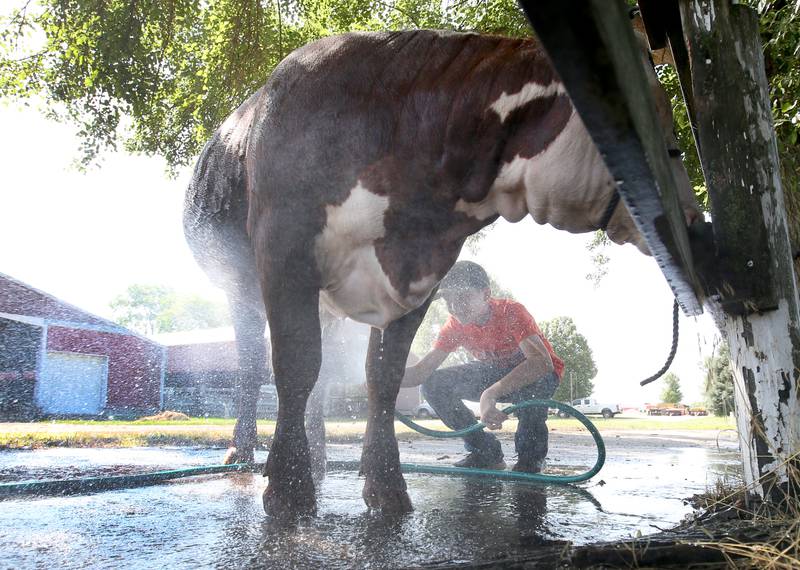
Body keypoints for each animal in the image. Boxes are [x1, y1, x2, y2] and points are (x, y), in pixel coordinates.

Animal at [186, 30, 700, 520]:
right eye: (667, 139)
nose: (694, 224)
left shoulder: (416, 283)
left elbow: (384, 377)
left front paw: (386, 485)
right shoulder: (285, 251)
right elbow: (295, 366)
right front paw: (290, 492)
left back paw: (320, 455)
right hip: (240, 289)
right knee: (253, 366)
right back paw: (245, 453)